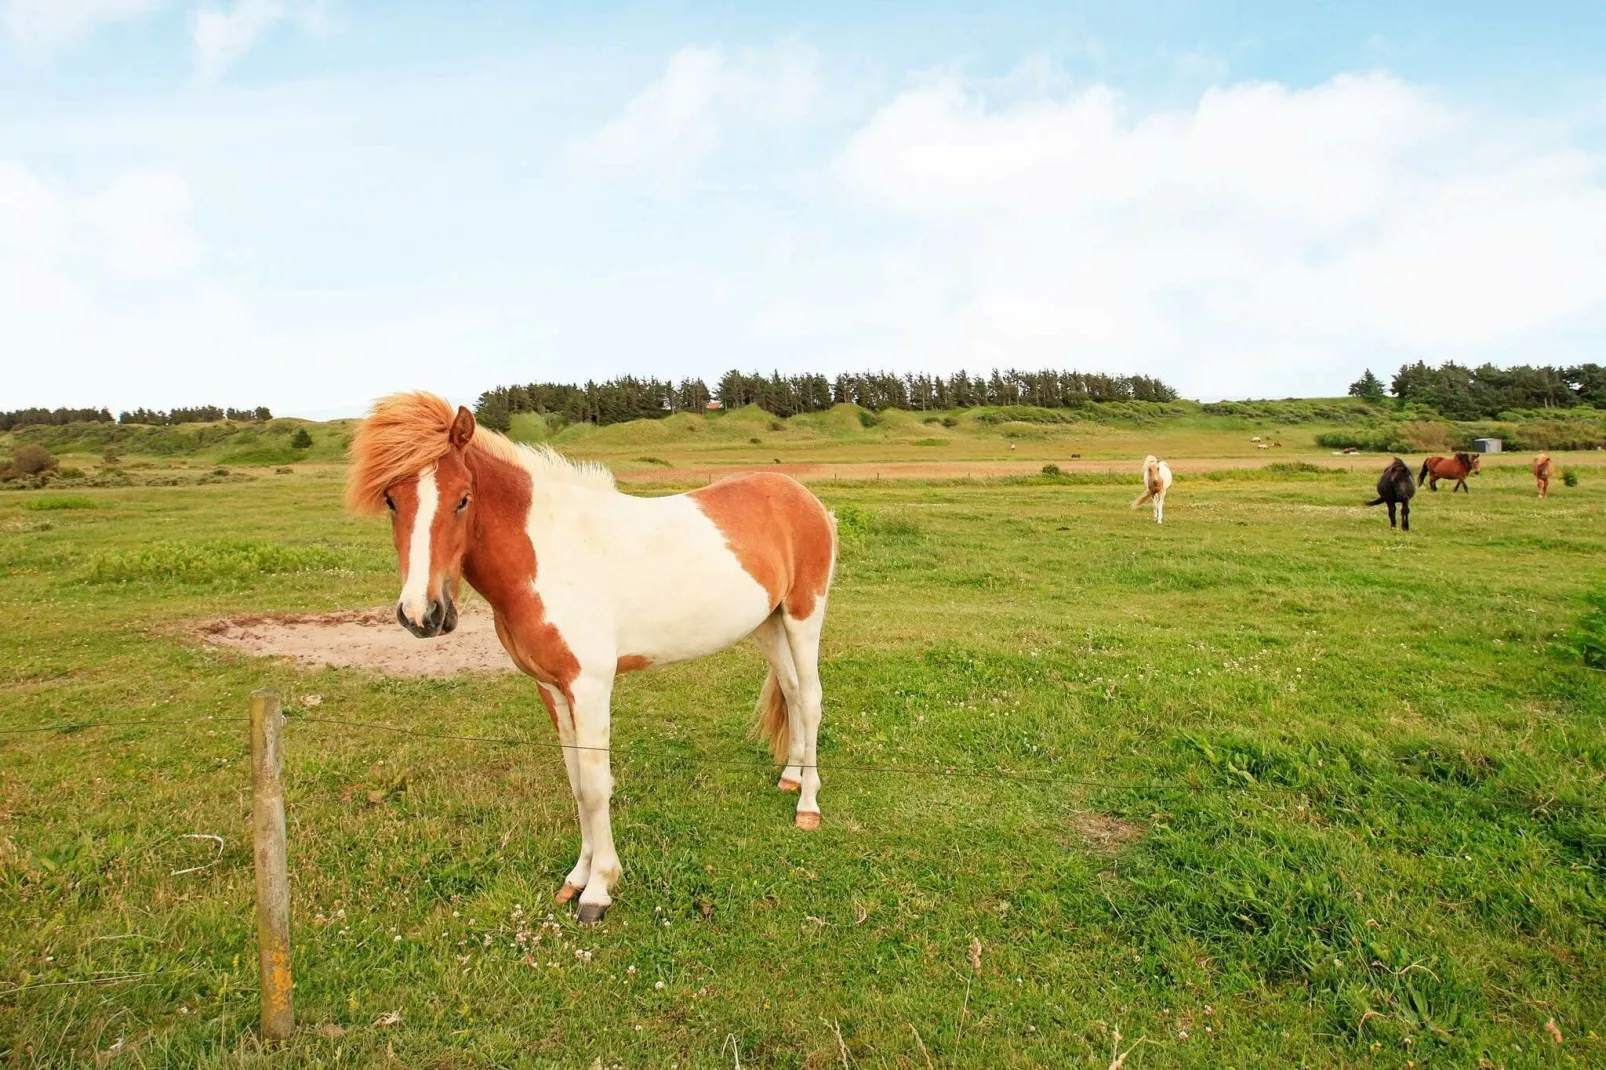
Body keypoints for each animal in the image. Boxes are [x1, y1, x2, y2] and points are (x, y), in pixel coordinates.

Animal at [345, 392, 835, 918]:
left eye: (462, 499)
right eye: (392, 500)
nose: (422, 614)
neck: (548, 556)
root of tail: (802, 497)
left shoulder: (591, 686)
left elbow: (598, 786)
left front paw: (599, 889)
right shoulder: (552, 688)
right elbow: (578, 783)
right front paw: (576, 877)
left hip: (804, 615)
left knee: (810, 699)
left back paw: (808, 805)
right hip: (768, 624)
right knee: (790, 691)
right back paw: (790, 776)